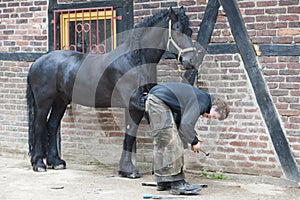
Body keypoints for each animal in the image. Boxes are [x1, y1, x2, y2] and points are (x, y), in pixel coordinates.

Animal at [26, 6, 202, 176]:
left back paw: (56, 162)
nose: (191, 61)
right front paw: (128, 170)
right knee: (39, 126)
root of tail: (37, 63)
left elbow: (135, 134)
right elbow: (130, 134)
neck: (134, 59)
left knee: (52, 125)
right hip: (44, 101)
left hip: (60, 101)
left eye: (189, 31)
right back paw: (39, 164)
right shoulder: (133, 104)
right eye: (177, 29)